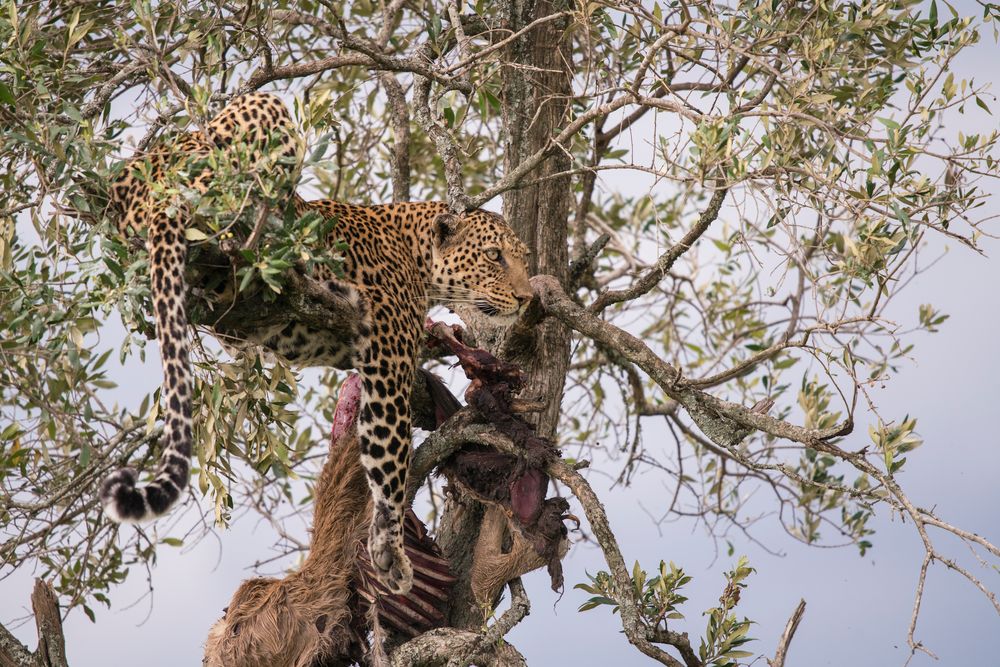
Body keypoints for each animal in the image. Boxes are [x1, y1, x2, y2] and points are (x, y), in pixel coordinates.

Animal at [101, 90, 536, 596]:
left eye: (523, 260)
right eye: (494, 256)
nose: (527, 298)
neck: (416, 252)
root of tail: (145, 179)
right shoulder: (387, 360)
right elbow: (388, 456)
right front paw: (390, 551)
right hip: (259, 115)